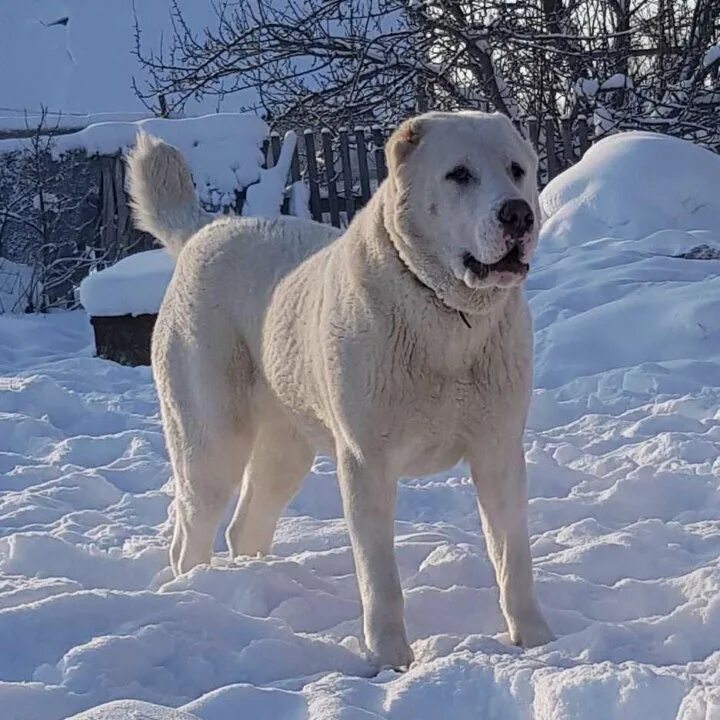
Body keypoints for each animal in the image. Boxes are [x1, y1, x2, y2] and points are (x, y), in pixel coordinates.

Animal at [126, 111, 556, 668]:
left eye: (517, 170)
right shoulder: (366, 463)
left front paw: (537, 640)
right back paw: (201, 597)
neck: (444, 319)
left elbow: (512, 555)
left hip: (286, 449)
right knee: (191, 534)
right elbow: (380, 577)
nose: (517, 215)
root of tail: (207, 228)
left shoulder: (498, 452)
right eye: (459, 174)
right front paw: (391, 659)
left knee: (245, 526)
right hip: (211, 443)